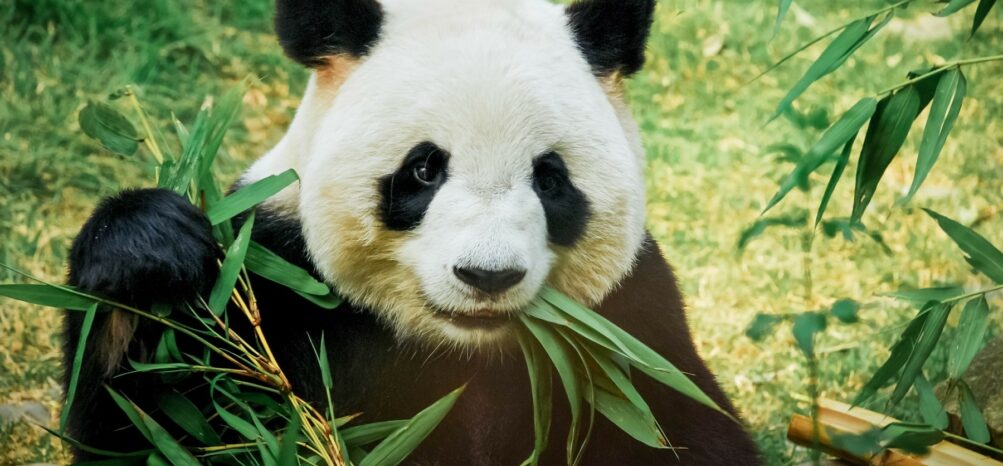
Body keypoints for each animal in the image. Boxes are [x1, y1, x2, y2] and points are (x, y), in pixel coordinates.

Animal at [63, 0, 762, 464]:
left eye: (550, 178)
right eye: (424, 169)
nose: (487, 276)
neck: (460, 346)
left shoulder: (628, 318)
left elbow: (683, 427)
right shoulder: (275, 275)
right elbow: (161, 425)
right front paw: (148, 253)